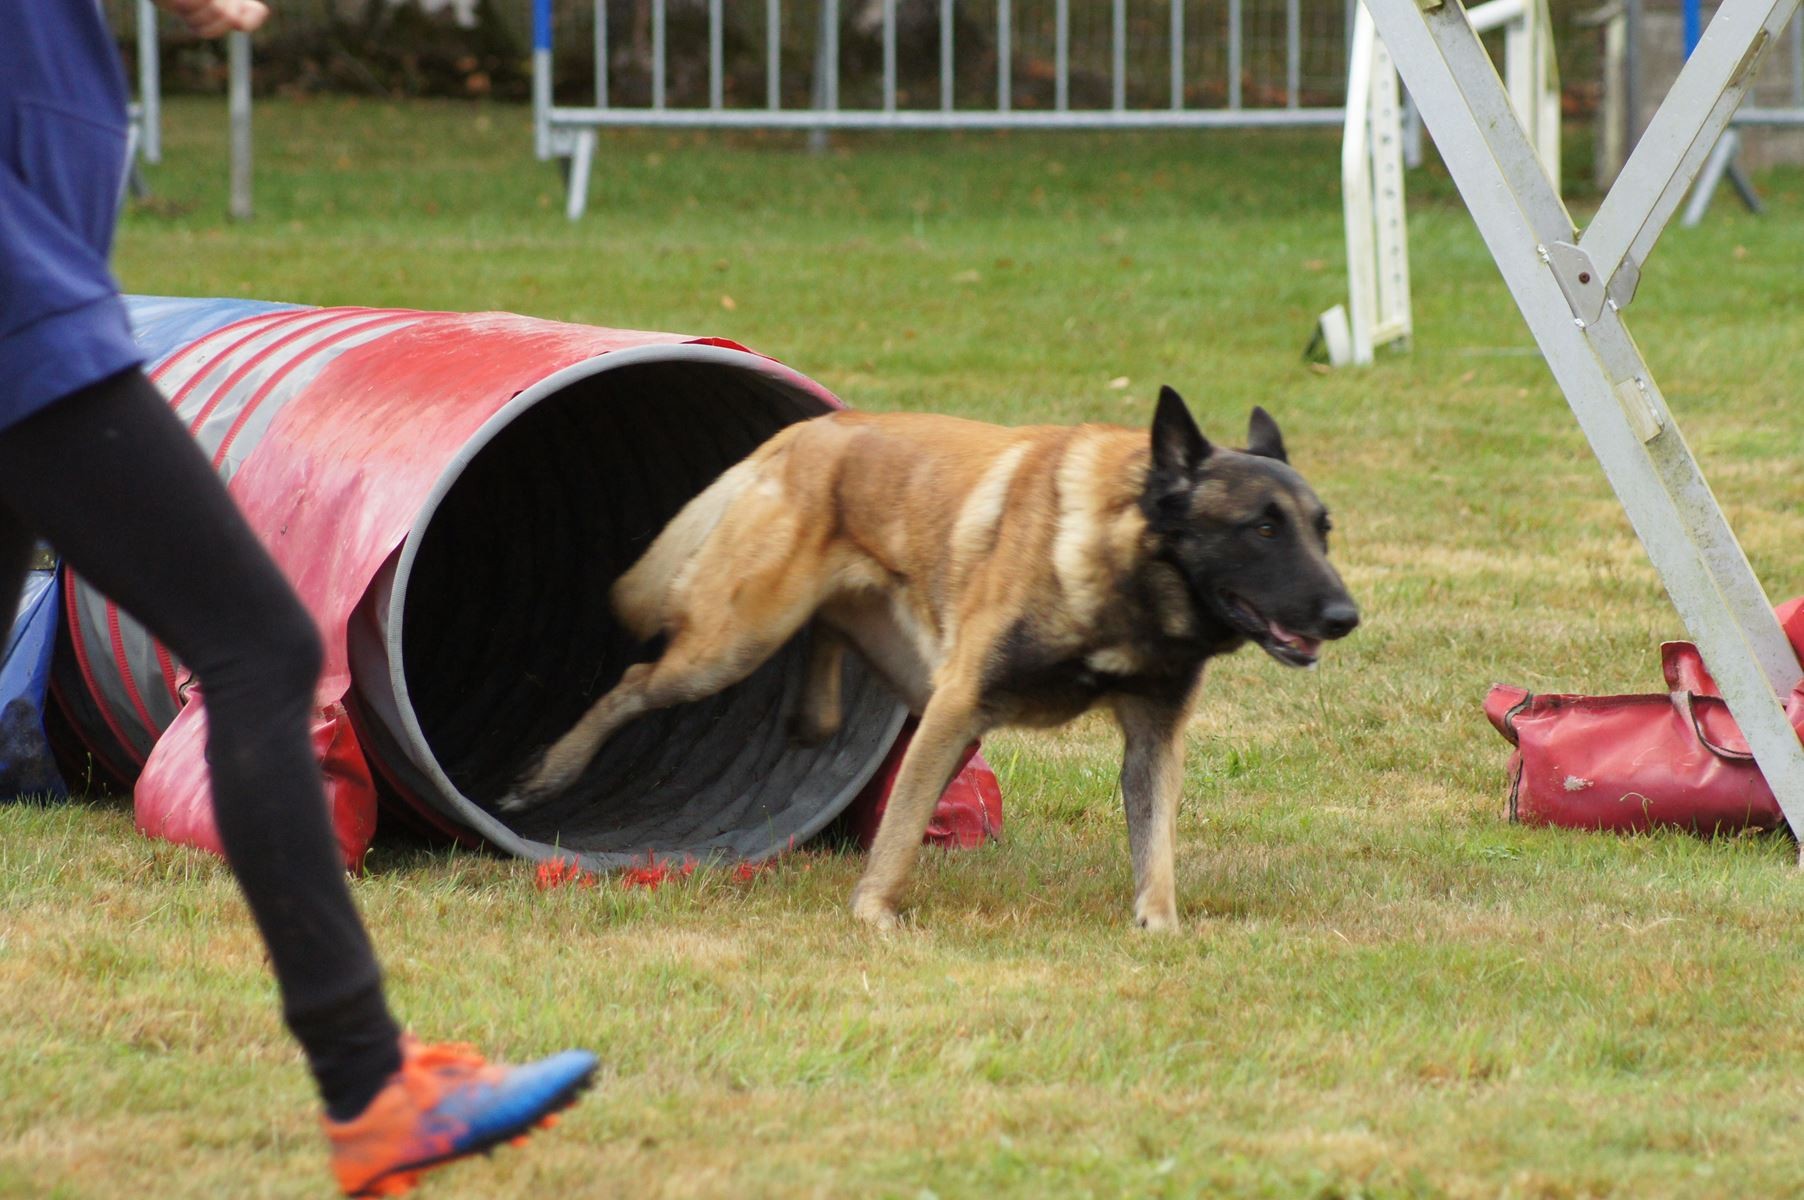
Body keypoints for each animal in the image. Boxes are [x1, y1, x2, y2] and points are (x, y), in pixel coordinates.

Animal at [501, 386, 1356, 923]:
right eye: (1262, 528)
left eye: (1323, 529)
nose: (1346, 616)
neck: (1123, 561)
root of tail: (807, 434)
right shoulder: (958, 704)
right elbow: (904, 826)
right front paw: (874, 915)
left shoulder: (1150, 740)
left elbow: (1156, 848)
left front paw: (1161, 927)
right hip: (732, 644)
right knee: (634, 680)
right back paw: (547, 772)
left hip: (891, 667)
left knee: (825, 654)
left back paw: (811, 717)